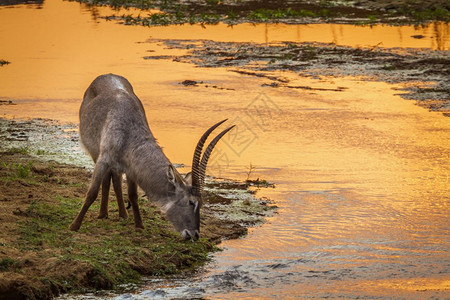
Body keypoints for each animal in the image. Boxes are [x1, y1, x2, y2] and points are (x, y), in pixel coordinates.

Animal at [69, 74, 236, 240]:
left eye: (200, 203)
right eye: (191, 202)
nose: (194, 234)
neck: (128, 131)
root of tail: (106, 75)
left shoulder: (131, 168)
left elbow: (133, 194)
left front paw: (139, 225)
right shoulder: (103, 160)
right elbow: (92, 193)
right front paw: (74, 226)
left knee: (115, 181)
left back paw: (122, 214)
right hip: (97, 155)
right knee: (106, 180)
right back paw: (102, 214)